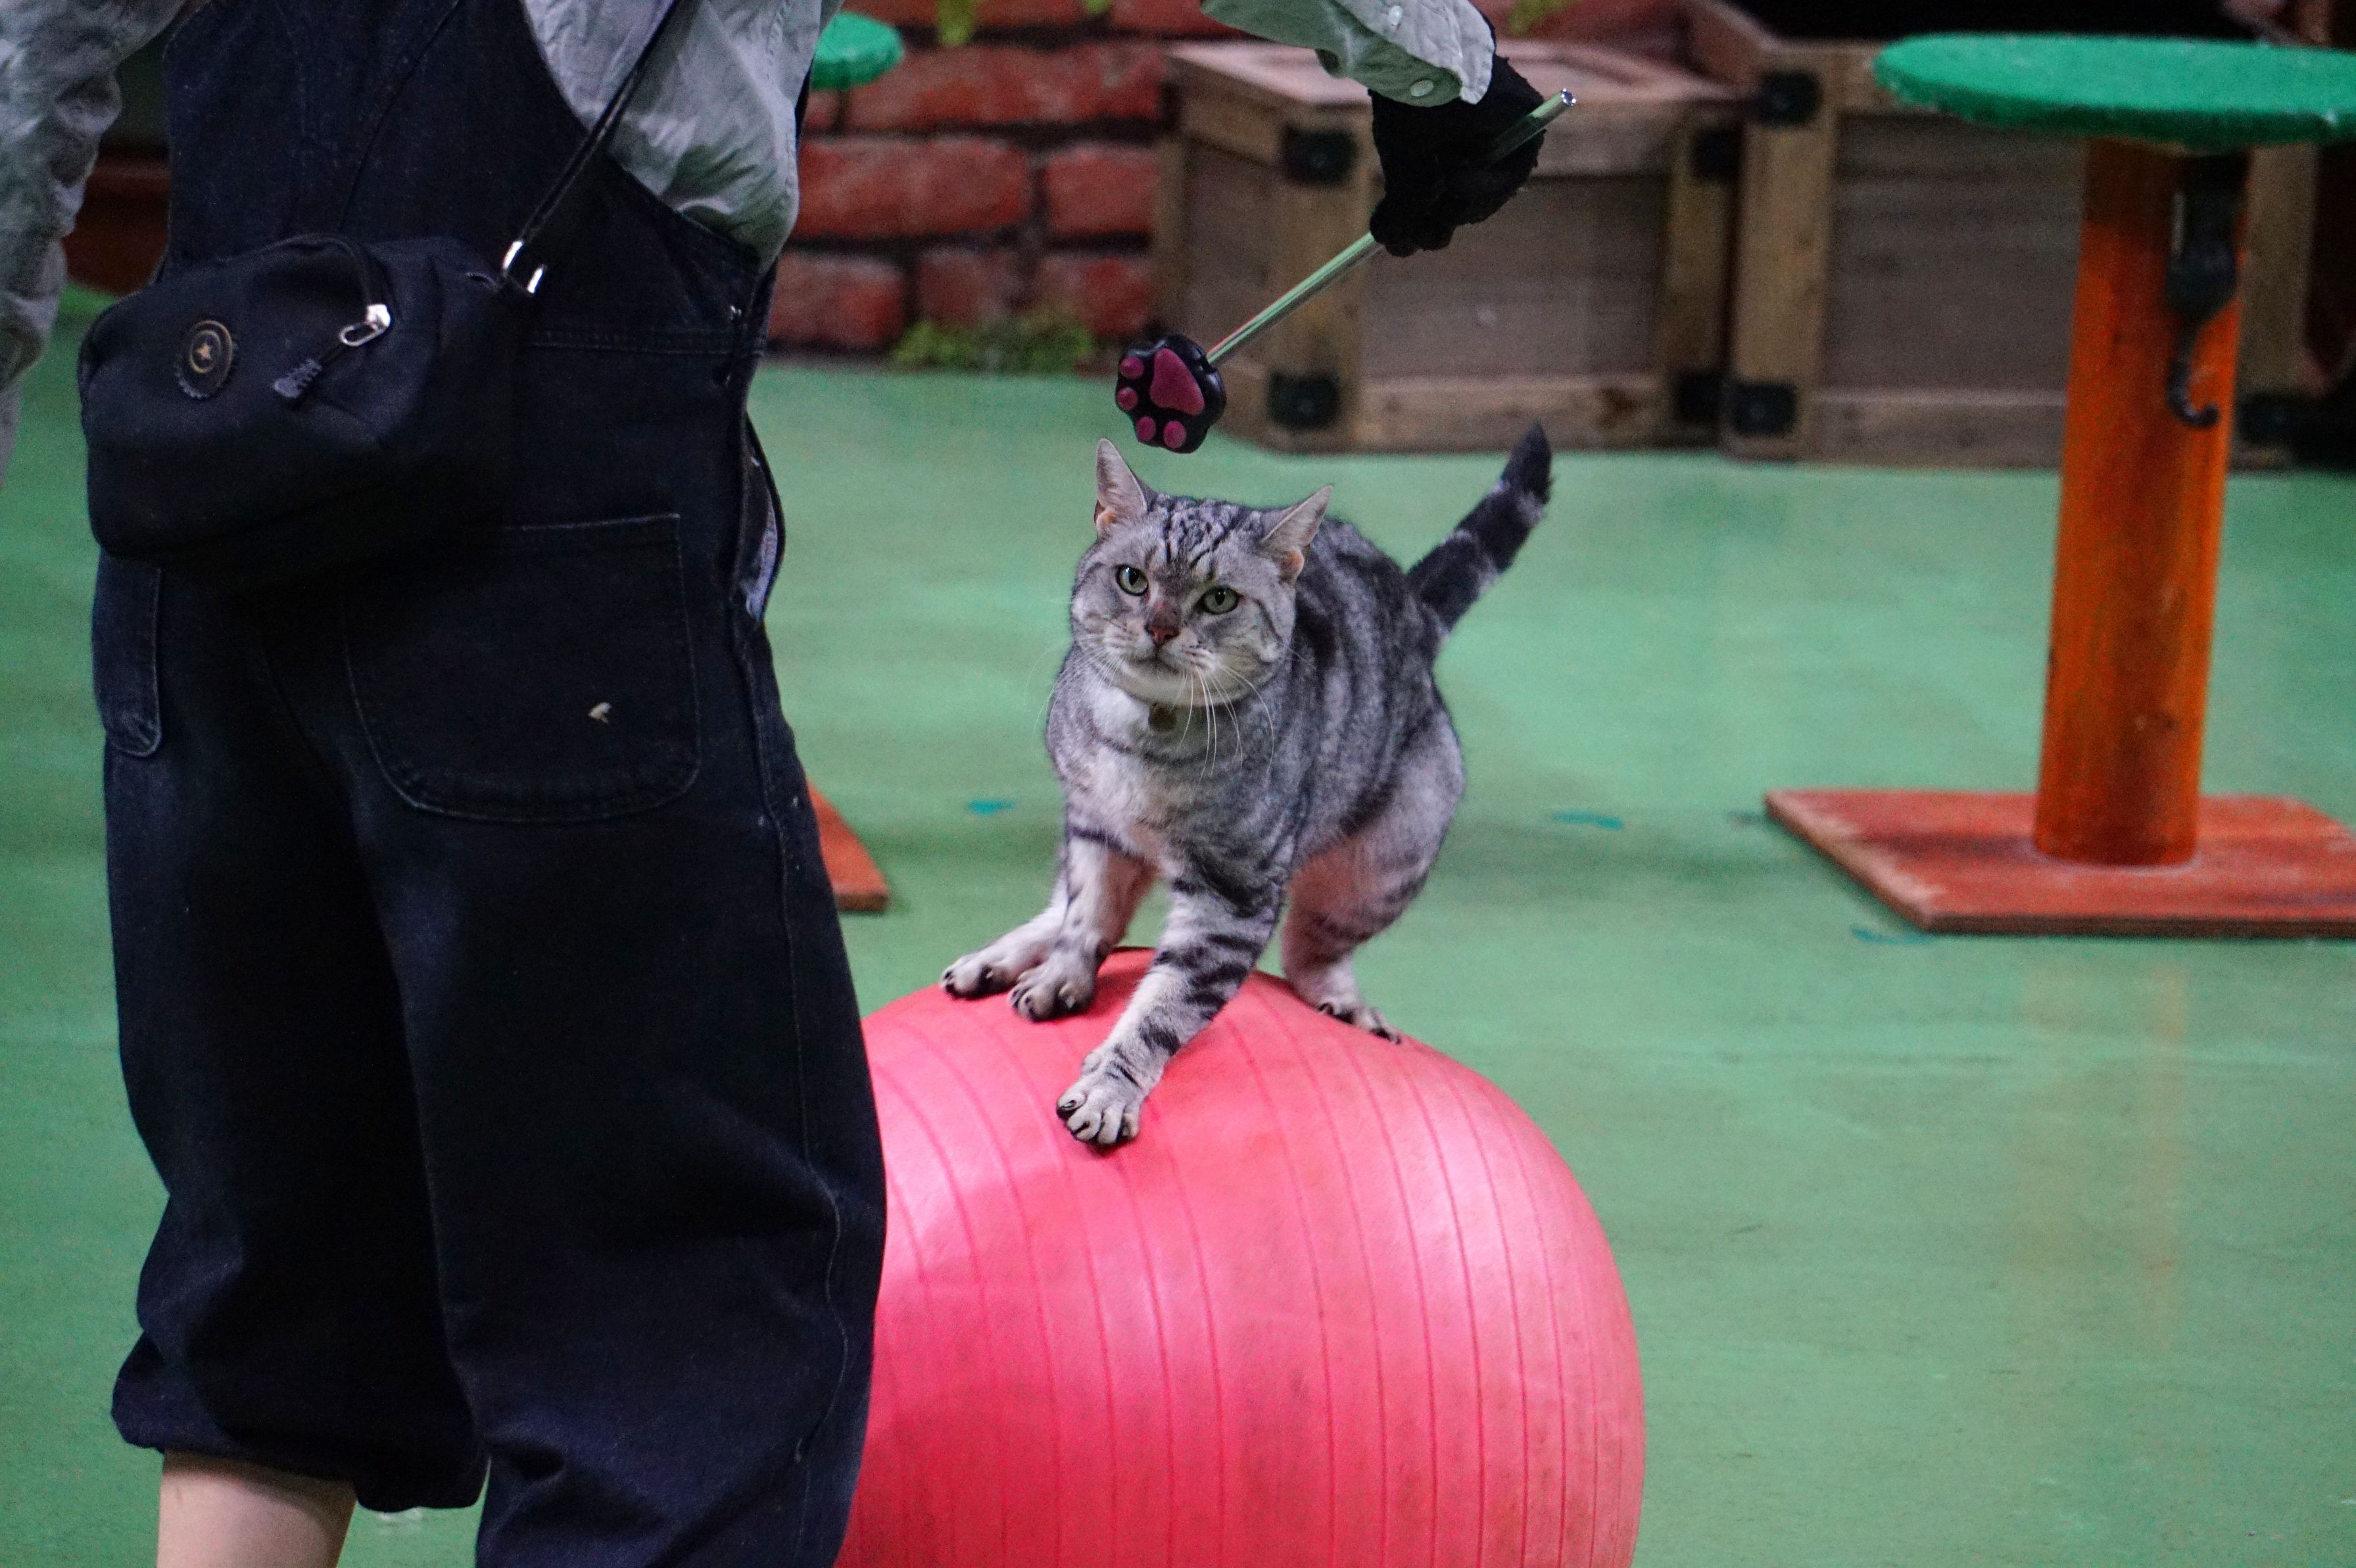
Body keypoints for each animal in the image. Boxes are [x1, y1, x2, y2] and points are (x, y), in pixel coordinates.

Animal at [944, 425, 1552, 1146]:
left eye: (1218, 599)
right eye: (1132, 579)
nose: (1160, 627)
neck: (1148, 738)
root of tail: (1412, 607)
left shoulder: (1230, 896)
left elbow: (1162, 1006)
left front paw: (1109, 1087)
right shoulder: (1096, 826)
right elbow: (1086, 917)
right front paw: (1061, 975)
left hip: (1379, 866)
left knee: (1312, 952)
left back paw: (1343, 1001)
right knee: (1063, 903)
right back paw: (999, 958)